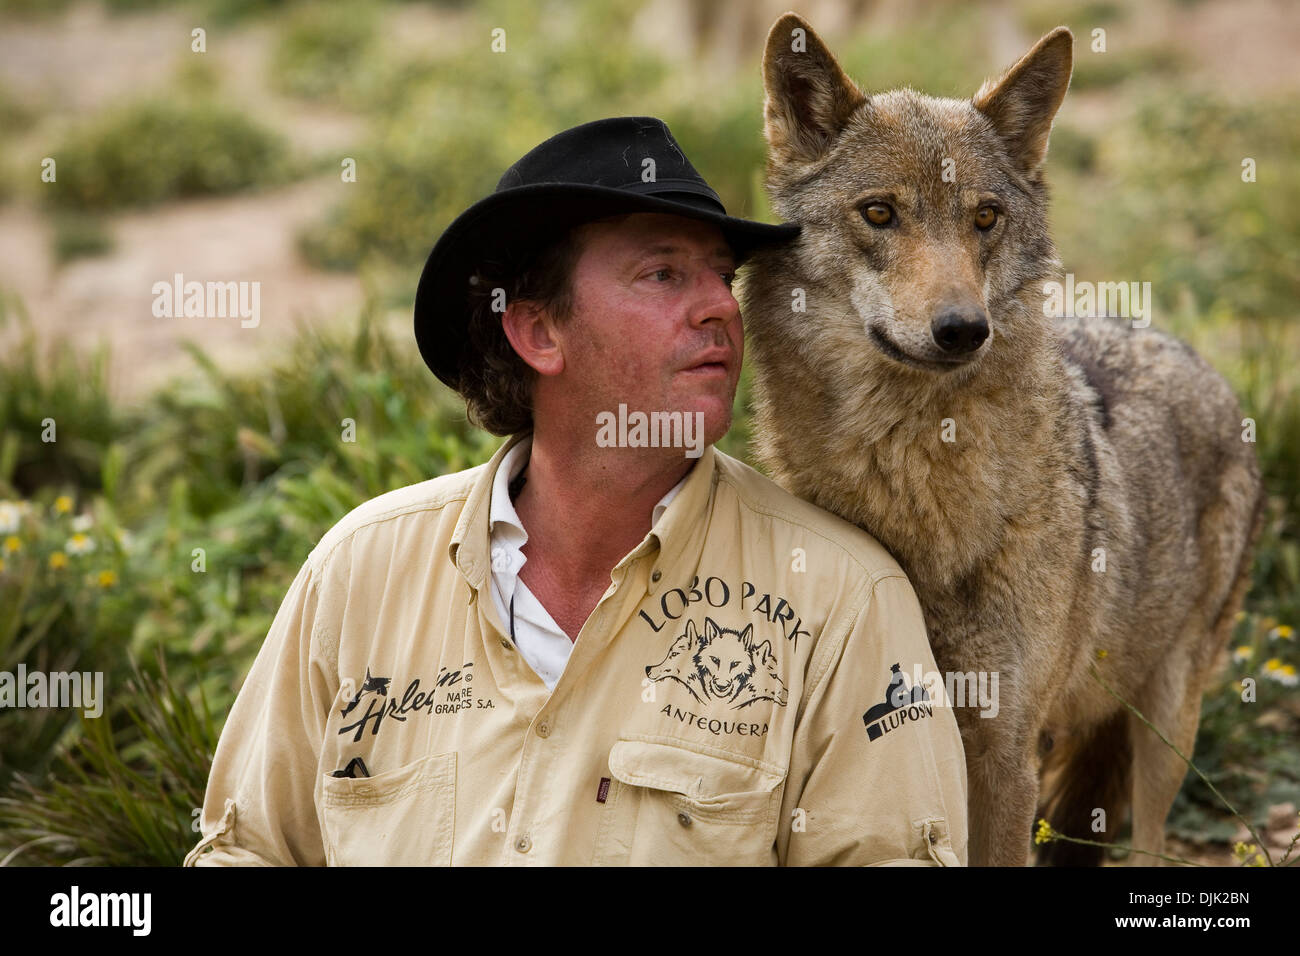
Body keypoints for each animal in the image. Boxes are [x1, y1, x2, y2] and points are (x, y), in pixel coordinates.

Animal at [738, 13, 1263, 868]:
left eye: (985, 217)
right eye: (879, 213)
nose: (963, 329)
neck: (919, 491)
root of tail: (1195, 356)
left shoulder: (1004, 748)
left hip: (1166, 722)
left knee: (1151, 837)